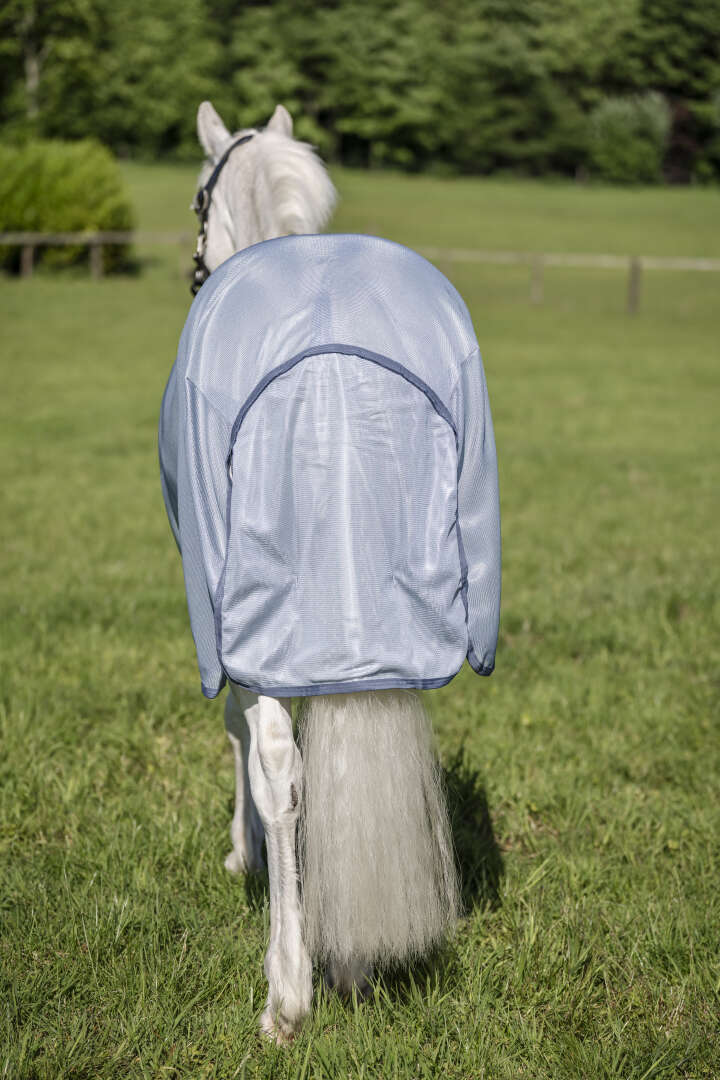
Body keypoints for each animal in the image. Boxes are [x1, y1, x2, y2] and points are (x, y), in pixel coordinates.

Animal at [158, 101, 501, 1043]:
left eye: (198, 202)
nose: (193, 267)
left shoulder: (225, 627)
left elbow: (245, 742)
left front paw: (243, 856)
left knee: (280, 766)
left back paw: (289, 992)